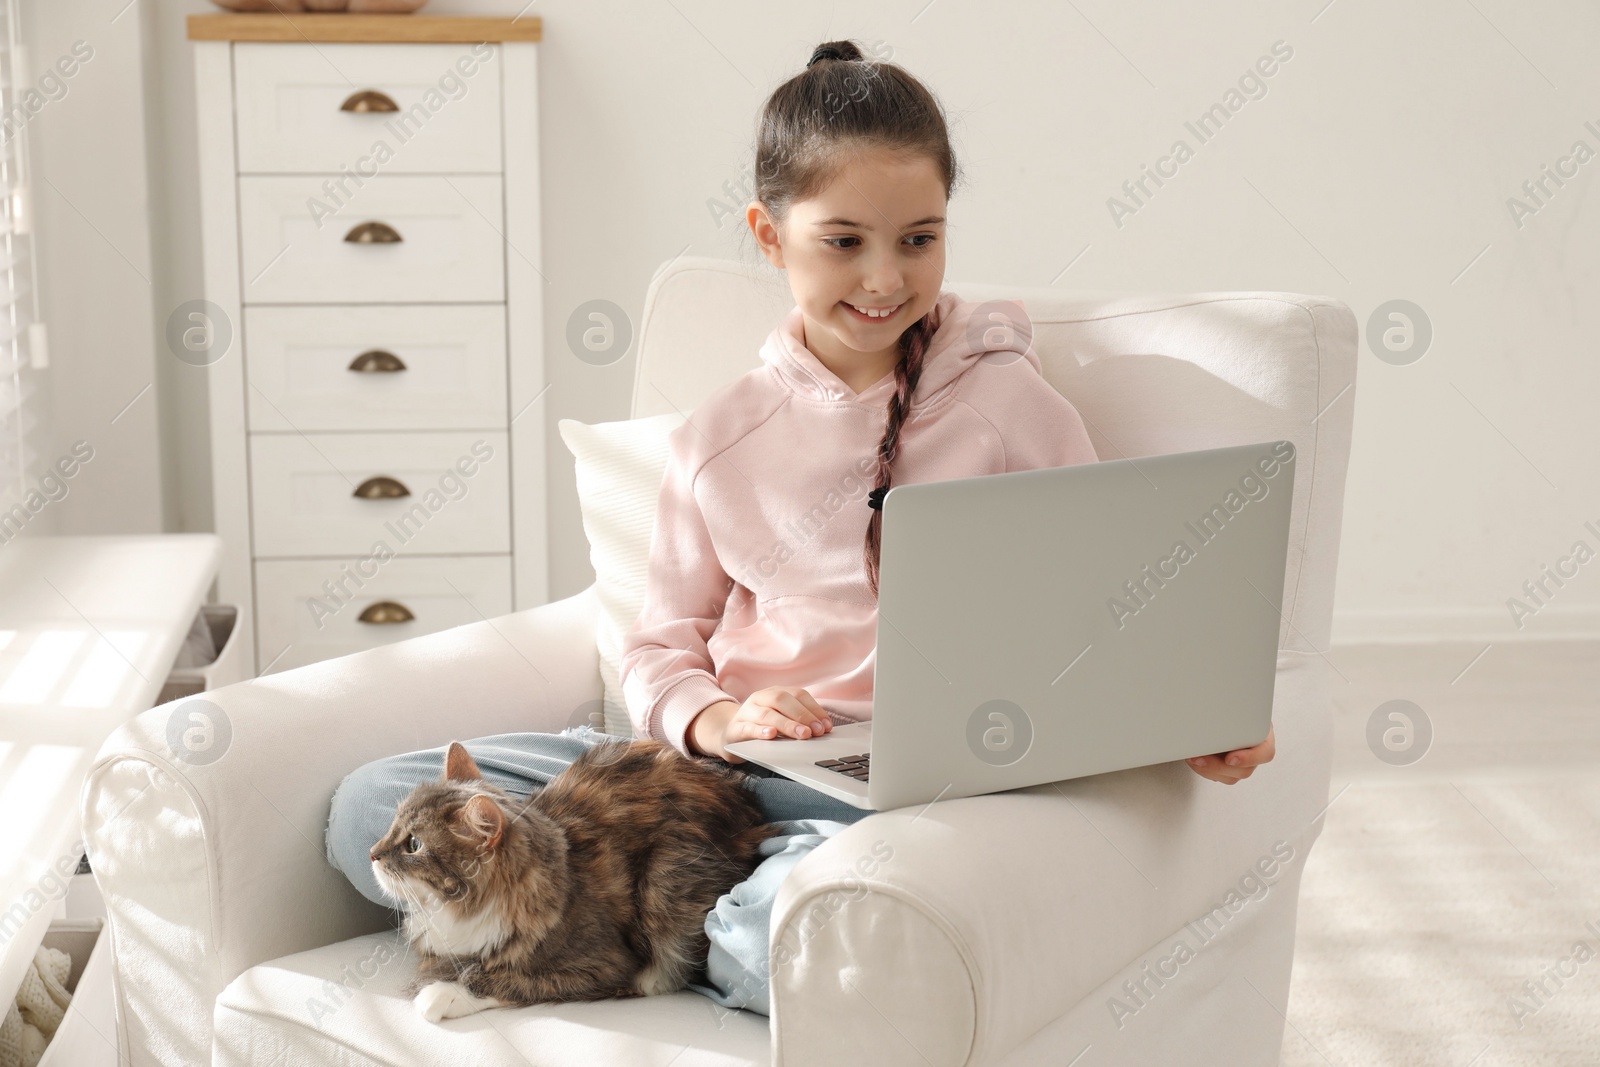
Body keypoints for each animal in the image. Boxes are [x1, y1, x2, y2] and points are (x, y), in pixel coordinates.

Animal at [369, 735, 780, 1023]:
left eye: (413, 845)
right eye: (394, 826)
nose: (372, 853)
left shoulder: (605, 965)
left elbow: (501, 977)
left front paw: (442, 994)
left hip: (667, 877)